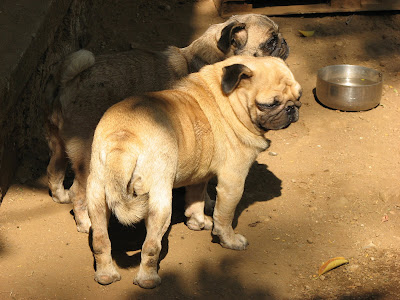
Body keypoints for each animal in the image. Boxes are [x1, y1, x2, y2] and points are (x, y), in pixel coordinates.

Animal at [46, 12, 290, 233]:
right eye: (271, 41)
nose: (284, 42)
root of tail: (71, 81)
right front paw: (207, 204)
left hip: (61, 146)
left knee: (54, 171)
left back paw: (61, 196)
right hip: (87, 154)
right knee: (79, 191)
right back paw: (85, 222)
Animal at [86, 55, 300, 288]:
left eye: (299, 97)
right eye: (270, 104)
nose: (293, 108)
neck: (229, 100)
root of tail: (123, 136)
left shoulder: (199, 172)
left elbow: (196, 199)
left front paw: (197, 222)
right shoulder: (233, 183)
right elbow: (224, 217)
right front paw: (229, 240)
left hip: (97, 197)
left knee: (100, 241)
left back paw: (106, 274)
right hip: (160, 204)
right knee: (151, 246)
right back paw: (148, 279)